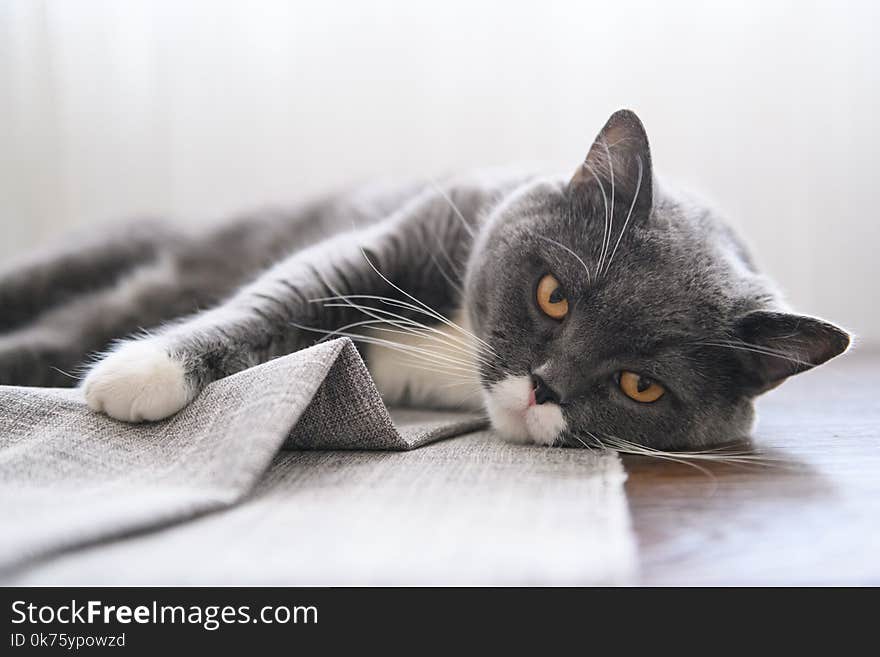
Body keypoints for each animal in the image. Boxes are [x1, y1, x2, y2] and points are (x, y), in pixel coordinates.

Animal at [1, 111, 852, 452]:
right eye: (553, 294)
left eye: (642, 386)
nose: (542, 387)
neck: (459, 347)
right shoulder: (401, 236)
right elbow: (287, 292)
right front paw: (145, 372)